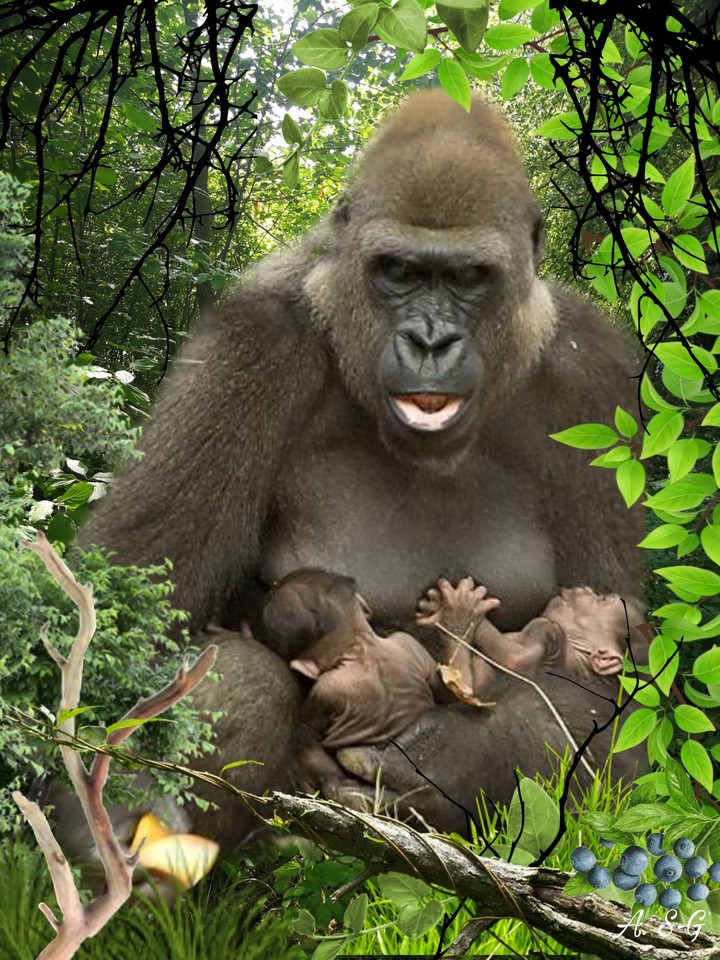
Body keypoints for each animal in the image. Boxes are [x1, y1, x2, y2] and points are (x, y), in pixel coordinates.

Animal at [76, 90, 645, 844]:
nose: (430, 341)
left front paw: (460, 754)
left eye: (468, 278)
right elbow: (135, 620)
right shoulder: (251, 345)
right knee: (238, 675)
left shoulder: (591, 377)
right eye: (398, 272)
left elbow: (623, 675)